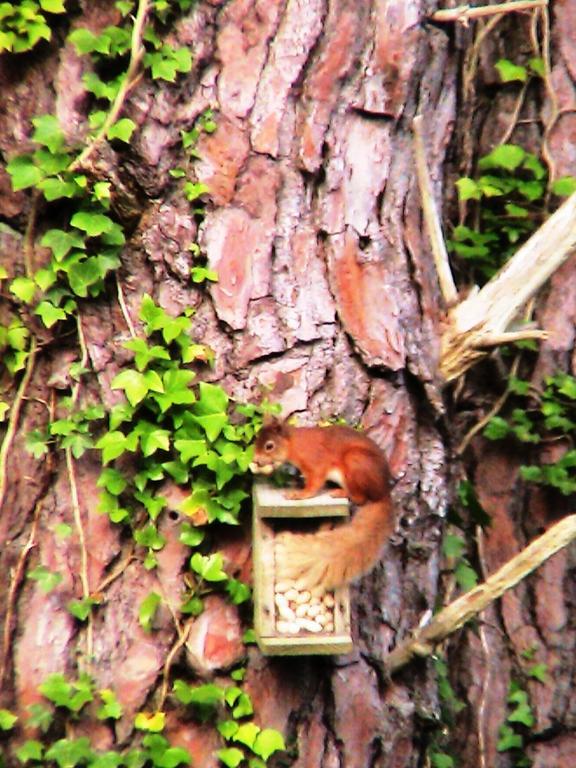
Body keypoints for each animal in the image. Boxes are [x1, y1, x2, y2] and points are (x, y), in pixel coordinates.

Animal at [250, 416, 394, 592]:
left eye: (269, 446)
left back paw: (341, 493)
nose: (256, 460)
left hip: (356, 461)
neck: (295, 443)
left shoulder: (316, 463)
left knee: (361, 498)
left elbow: (314, 484)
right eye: (257, 439)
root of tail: (383, 493)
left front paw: (299, 494)